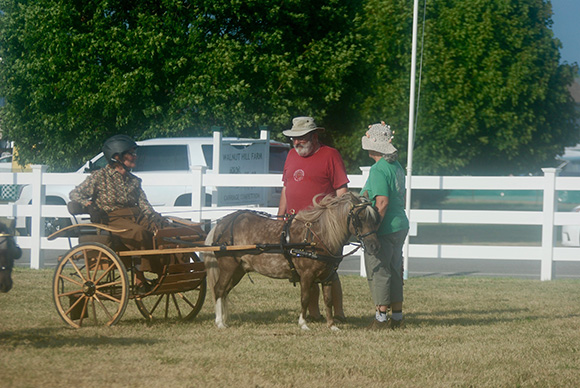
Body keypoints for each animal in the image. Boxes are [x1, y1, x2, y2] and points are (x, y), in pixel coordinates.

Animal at [204, 193, 380, 330]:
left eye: (375, 219)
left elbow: (328, 300)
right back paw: (219, 322)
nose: (374, 246)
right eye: (360, 218)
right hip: (228, 267)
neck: (317, 238)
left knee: (224, 292)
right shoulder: (307, 275)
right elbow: (305, 298)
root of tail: (221, 224)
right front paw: (303, 324)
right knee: (219, 290)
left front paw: (332, 325)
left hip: (238, 271)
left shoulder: (328, 276)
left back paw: (223, 319)